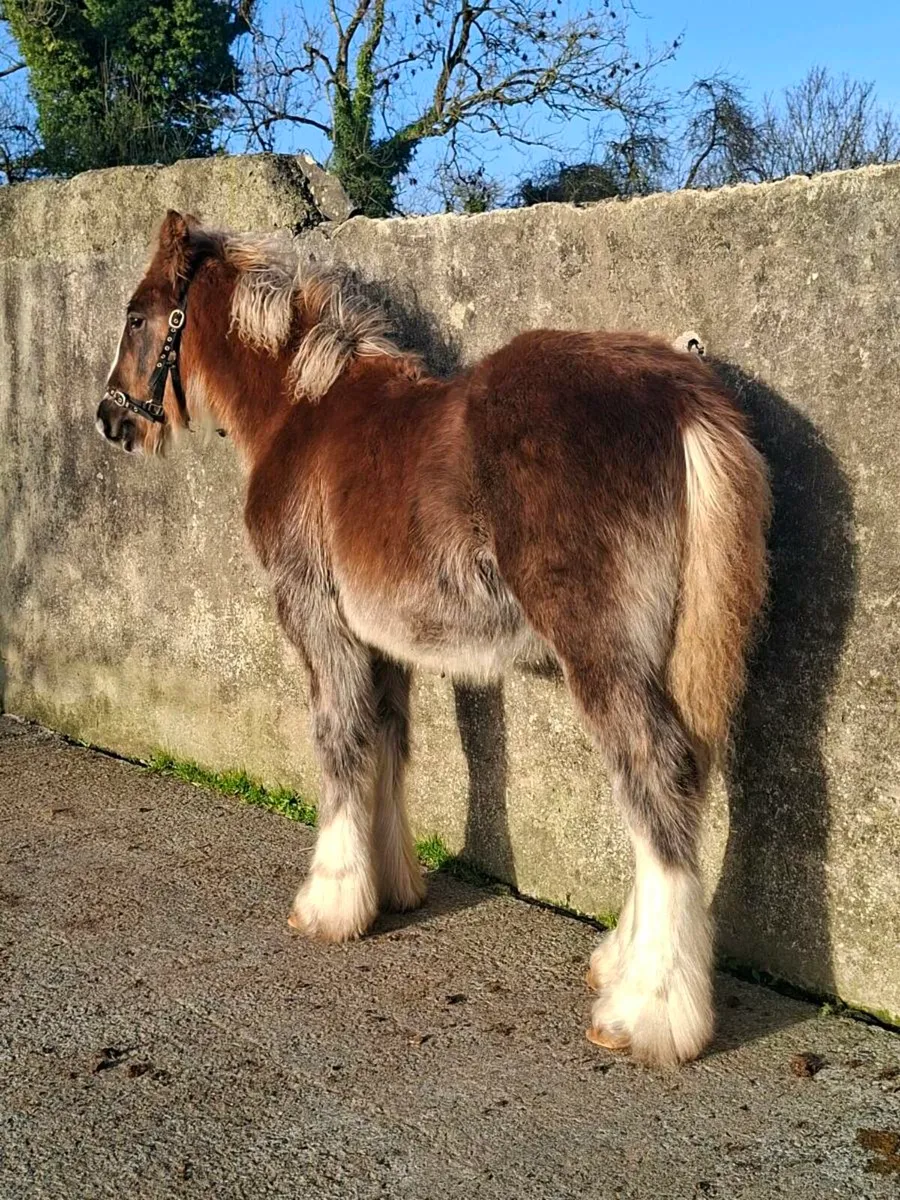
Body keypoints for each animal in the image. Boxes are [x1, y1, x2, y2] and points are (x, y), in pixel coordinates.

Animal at [97, 210, 770, 1066]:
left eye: (136, 316)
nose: (110, 418)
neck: (301, 413)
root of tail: (683, 395)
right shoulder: (384, 643)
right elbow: (387, 742)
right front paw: (390, 887)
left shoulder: (316, 620)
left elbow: (339, 742)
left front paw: (328, 904)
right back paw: (620, 962)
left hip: (602, 652)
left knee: (657, 775)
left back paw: (645, 1012)